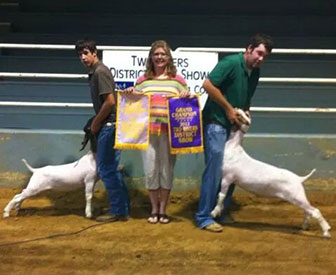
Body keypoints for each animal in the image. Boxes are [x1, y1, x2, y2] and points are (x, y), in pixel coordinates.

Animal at [211, 109, 332, 238]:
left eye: (243, 115)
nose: (237, 110)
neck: (234, 147)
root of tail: (299, 179)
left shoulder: (227, 178)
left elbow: (221, 195)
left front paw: (214, 212)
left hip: (296, 196)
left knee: (315, 211)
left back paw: (326, 232)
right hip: (298, 197)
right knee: (308, 211)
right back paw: (305, 225)